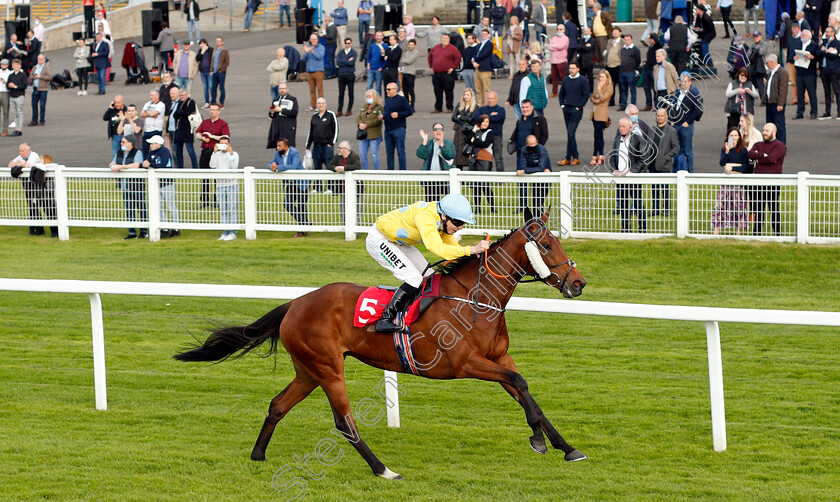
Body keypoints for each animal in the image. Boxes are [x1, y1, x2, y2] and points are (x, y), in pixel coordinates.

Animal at [174, 208, 588, 478]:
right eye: (546, 245)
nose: (579, 283)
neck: (474, 299)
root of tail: (295, 303)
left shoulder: (499, 358)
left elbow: (525, 392)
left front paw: (566, 447)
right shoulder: (465, 364)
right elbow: (520, 385)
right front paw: (539, 441)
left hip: (308, 370)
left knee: (278, 405)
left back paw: (258, 455)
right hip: (328, 368)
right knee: (344, 422)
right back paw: (383, 470)